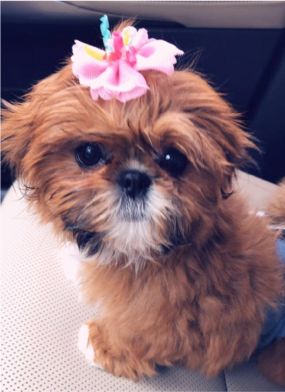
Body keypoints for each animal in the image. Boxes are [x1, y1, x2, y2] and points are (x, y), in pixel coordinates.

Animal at [2, 19, 284, 384]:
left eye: (173, 159)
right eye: (89, 153)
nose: (134, 179)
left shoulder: (181, 324)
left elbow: (140, 337)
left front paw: (101, 344)